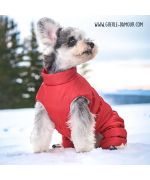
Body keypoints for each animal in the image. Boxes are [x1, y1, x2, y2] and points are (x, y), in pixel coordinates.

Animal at [30, 16, 126, 153]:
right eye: (72, 40)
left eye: (84, 37)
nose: (91, 43)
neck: (59, 81)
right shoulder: (42, 110)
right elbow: (40, 131)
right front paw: (39, 148)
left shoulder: (79, 104)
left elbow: (81, 130)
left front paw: (84, 148)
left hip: (112, 128)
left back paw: (114, 146)